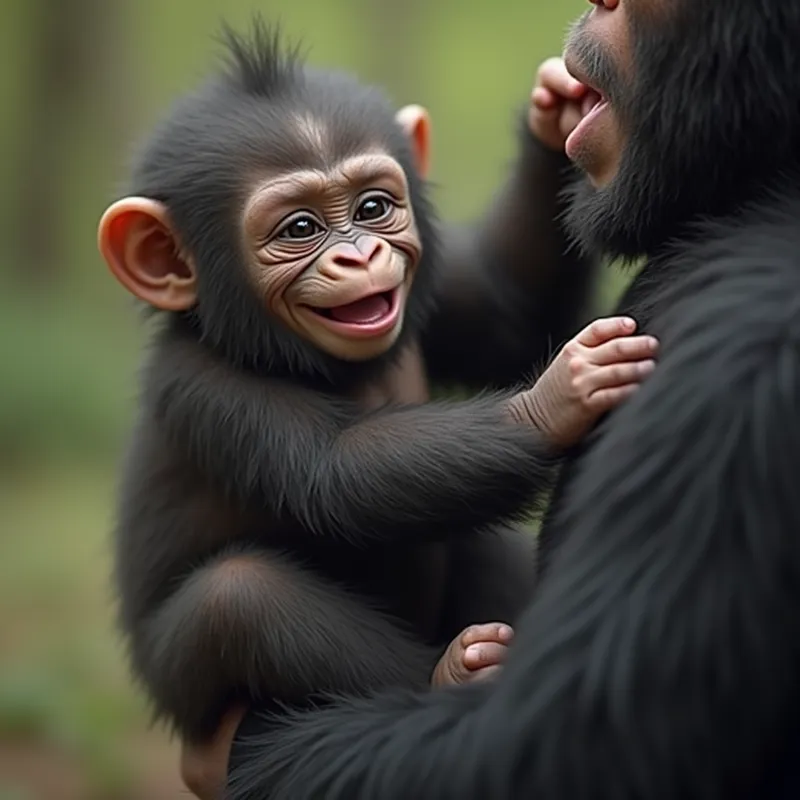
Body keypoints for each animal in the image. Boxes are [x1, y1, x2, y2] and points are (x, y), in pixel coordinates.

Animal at [96, 20, 662, 761]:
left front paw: (558, 113)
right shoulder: (204, 387)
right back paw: (451, 671)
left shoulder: (438, 295)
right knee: (239, 600)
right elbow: (333, 471)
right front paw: (560, 397)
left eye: (373, 206)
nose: (359, 254)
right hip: (175, 682)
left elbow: (508, 314)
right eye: (300, 228)